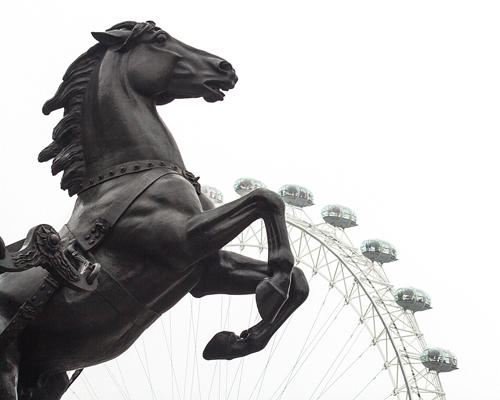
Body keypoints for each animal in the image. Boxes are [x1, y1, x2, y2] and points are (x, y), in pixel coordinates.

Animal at [0, 21, 308, 400]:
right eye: (160, 39)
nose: (226, 68)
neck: (131, 171)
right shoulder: (182, 241)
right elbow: (266, 199)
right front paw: (272, 289)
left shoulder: (206, 270)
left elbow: (300, 280)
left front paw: (233, 342)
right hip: (7, 363)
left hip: (47, 377)